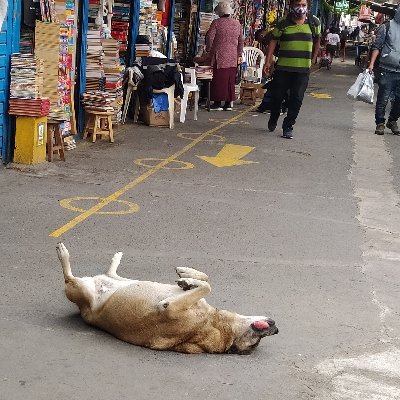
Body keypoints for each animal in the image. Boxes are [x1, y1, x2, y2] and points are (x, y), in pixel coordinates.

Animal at [57, 244, 278, 354]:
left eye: (254, 344)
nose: (276, 328)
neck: (215, 324)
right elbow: (206, 280)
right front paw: (188, 277)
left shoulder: (169, 308)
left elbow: (207, 286)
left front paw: (189, 280)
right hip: (124, 280)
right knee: (111, 272)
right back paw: (116, 257)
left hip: (76, 289)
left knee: (68, 277)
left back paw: (63, 252)